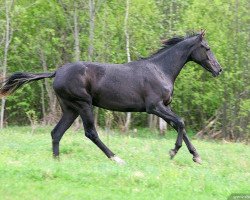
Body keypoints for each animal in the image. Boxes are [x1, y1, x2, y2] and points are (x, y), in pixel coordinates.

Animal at [0, 30, 223, 164]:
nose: (219, 69)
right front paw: (173, 152)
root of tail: (57, 72)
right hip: (83, 105)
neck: (160, 70)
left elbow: (179, 126)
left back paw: (57, 161)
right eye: (207, 48)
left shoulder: (165, 107)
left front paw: (196, 156)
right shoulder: (155, 107)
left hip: (70, 108)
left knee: (56, 133)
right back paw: (116, 158)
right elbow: (181, 122)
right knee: (90, 133)